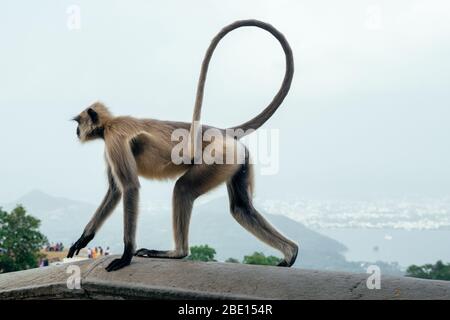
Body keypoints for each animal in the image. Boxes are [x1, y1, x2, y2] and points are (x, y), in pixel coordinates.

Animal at [67, 19, 298, 270]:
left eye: (79, 122)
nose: (76, 131)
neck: (110, 124)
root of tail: (221, 131)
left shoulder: (114, 139)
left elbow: (129, 187)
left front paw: (126, 255)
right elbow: (115, 191)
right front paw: (83, 239)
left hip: (218, 157)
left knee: (183, 189)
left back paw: (177, 253)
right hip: (237, 158)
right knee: (241, 208)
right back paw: (291, 253)